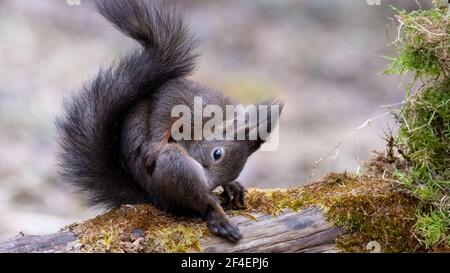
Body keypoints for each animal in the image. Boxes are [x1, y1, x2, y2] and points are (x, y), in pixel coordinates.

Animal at [55, 0, 282, 242]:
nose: (210, 185)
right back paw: (218, 217)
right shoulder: (177, 99)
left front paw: (232, 184)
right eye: (217, 154)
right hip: (174, 165)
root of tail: (152, 196)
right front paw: (154, 146)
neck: (212, 120)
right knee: (199, 203)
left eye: (237, 168)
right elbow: (160, 118)